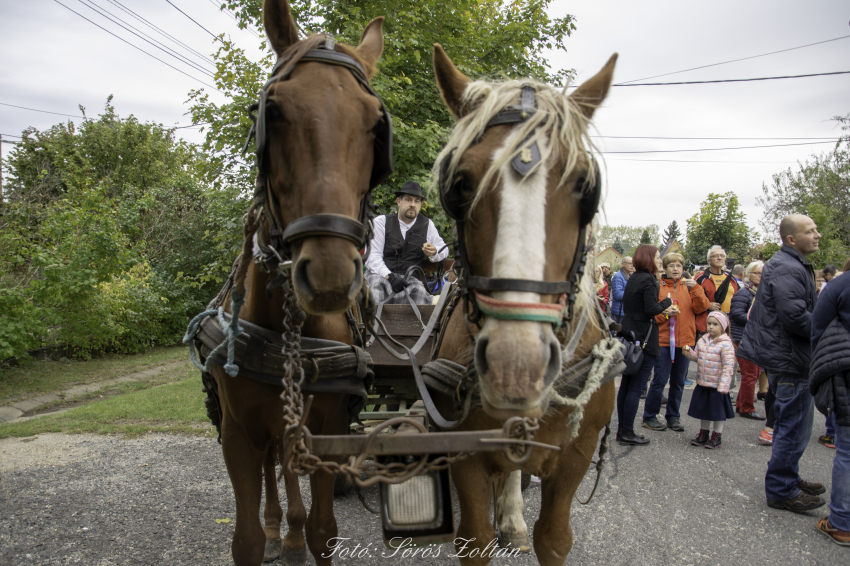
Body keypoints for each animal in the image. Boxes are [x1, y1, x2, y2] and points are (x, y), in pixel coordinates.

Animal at [187, 2, 390, 564]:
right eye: (272, 112)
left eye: (375, 126)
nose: (328, 275)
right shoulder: (237, 434)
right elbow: (247, 539)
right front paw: (272, 532)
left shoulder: (328, 429)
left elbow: (324, 530)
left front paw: (306, 534)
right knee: (272, 472)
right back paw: (283, 528)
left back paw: (293, 533)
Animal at [428, 46, 620, 564]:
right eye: (460, 184)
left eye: (584, 185)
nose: (516, 366)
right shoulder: (466, 455)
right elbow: (475, 539)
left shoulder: (574, 459)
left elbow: (553, 539)